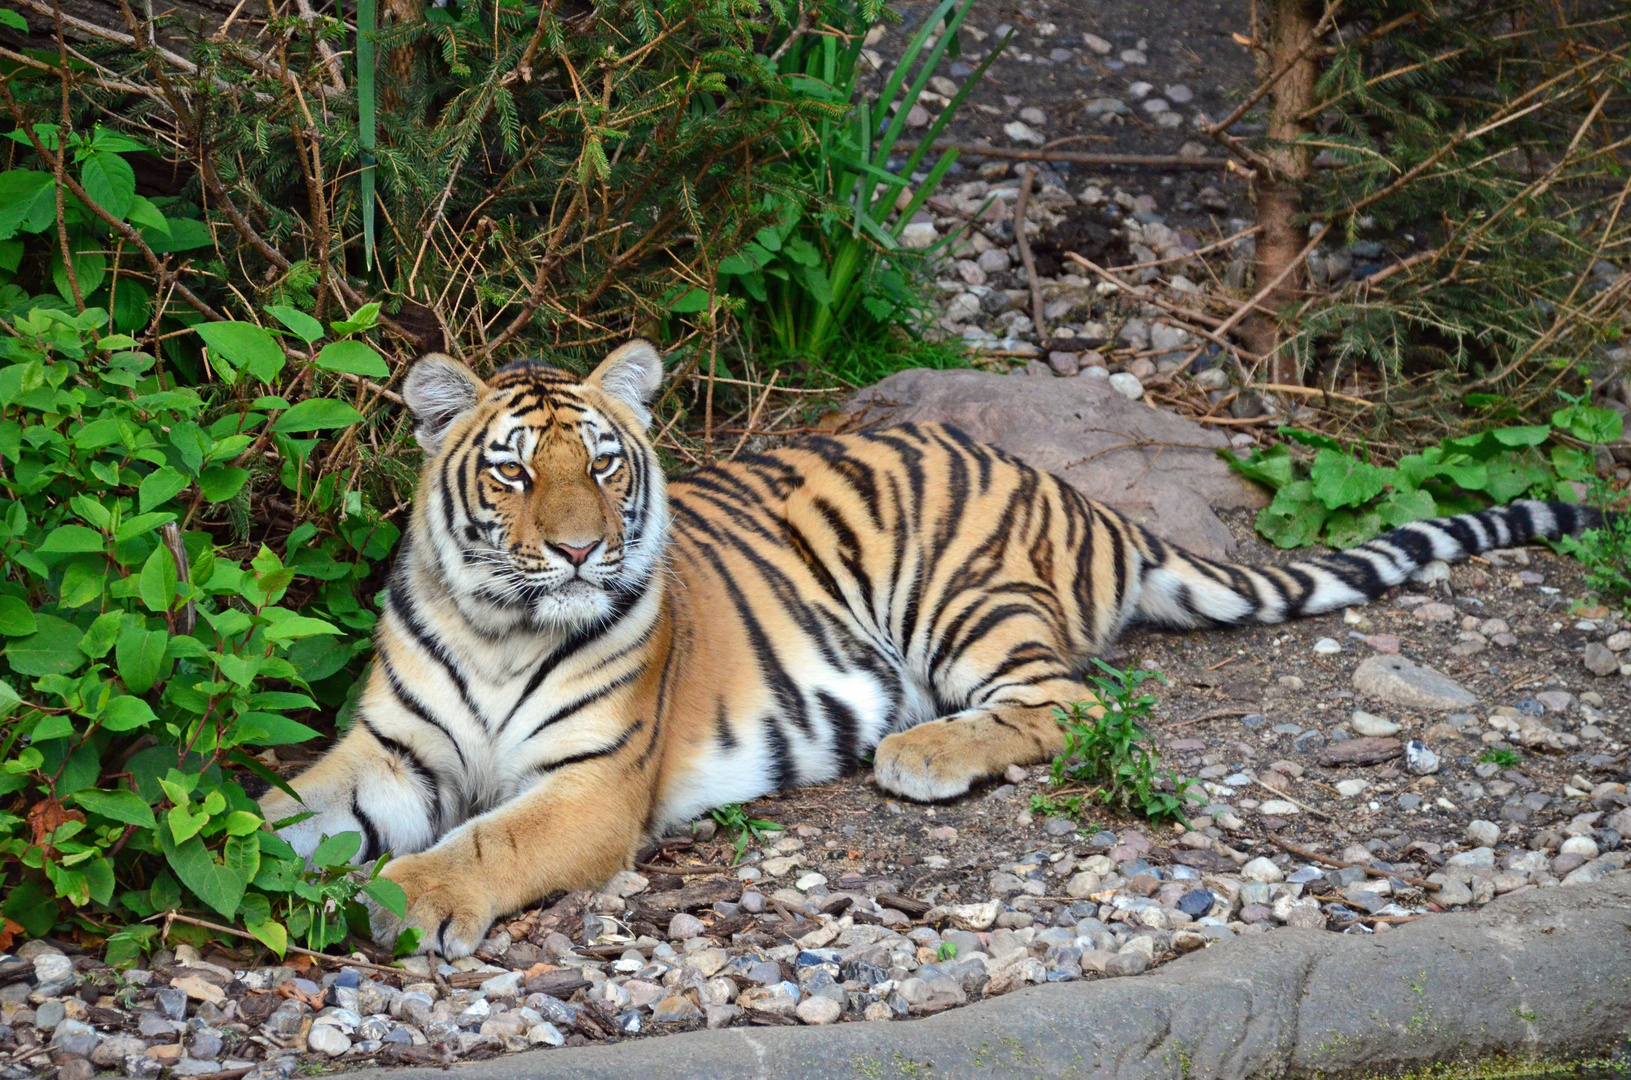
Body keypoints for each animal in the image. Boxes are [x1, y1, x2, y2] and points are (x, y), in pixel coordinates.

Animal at [260, 339, 1598, 959]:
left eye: (600, 464)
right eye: (510, 472)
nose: (584, 550)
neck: (500, 625)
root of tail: (1074, 491)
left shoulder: (590, 788)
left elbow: (490, 841)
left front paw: (406, 897)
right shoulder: (385, 756)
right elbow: (278, 814)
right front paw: (222, 862)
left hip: (960, 596)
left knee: (1076, 703)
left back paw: (922, 753)